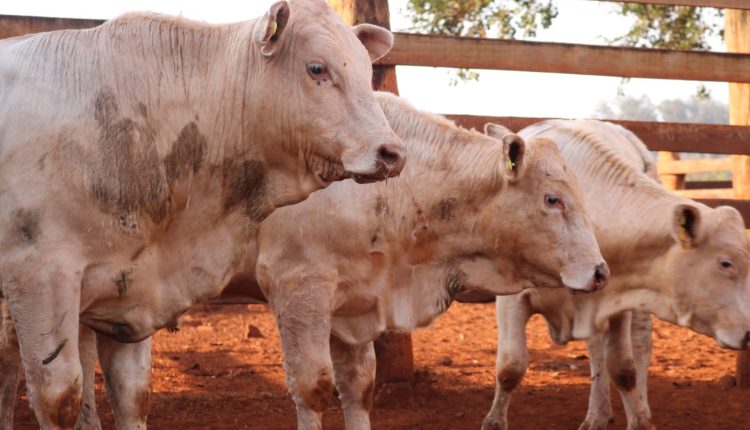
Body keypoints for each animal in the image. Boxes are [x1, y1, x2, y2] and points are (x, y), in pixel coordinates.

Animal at [0, 1, 412, 428]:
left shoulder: (128, 289)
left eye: (365, 70)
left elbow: (133, 397)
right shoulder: (39, 276)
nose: (393, 153)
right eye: (317, 68)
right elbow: (59, 398)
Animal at [53, 93, 612, 430]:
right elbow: (314, 387)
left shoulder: (355, 303)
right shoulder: (299, 289)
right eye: (553, 199)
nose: (601, 272)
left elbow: (358, 388)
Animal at [482, 119, 750, 430]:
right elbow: (510, 367)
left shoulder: (619, 297)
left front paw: (639, 420)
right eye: (726, 263)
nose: (748, 333)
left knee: (639, 343)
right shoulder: (511, 299)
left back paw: (637, 407)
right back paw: (598, 414)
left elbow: (623, 368)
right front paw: (493, 422)